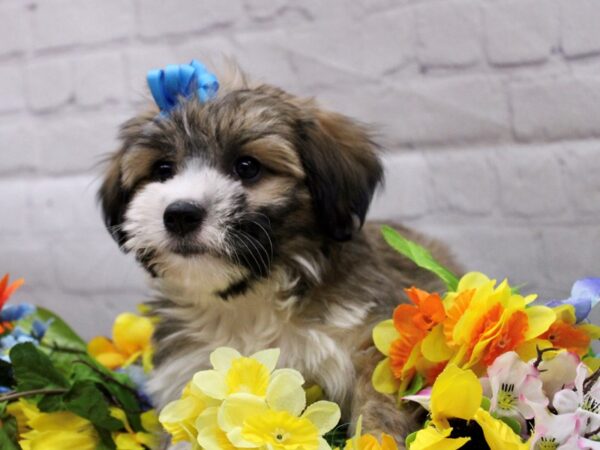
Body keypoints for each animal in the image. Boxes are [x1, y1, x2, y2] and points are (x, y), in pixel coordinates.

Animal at [99, 67, 460, 446]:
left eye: (247, 166)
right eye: (163, 169)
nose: (180, 214)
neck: (250, 298)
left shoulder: (370, 345)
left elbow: (378, 411)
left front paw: (375, 438)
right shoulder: (185, 376)